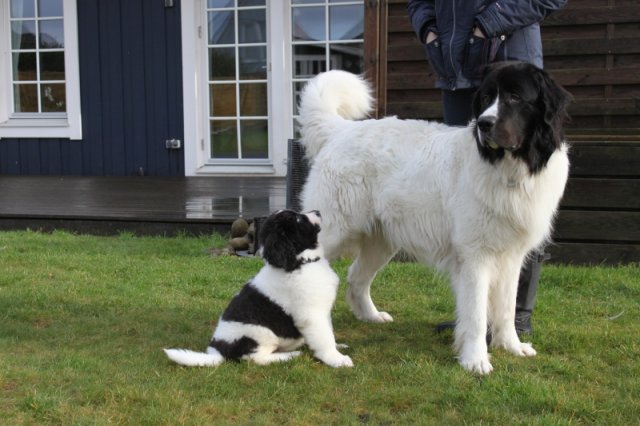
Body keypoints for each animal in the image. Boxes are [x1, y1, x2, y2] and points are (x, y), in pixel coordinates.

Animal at [164, 209, 353, 368]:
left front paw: (338, 346)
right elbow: (324, 338)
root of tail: (217, 350)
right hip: (259, 334)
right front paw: (337, 359)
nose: (318, 212)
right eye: (298, 219)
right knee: (255, 358)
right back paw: (290, 355)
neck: (300, 263)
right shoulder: (311, 315)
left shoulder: (323, 310)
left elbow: (328, 331)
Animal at [297, 61, 571, 374]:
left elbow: (506, 308)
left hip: (382, 242)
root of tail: (342, 130)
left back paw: (371, 316)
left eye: (515, 97)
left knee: (356, 276)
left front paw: (511, 347)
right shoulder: (475, 257)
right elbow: (477, 314)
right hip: (330, 232)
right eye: (486, 98)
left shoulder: (511, 257)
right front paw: (476, 360)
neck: (509, 170)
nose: (484, 124)